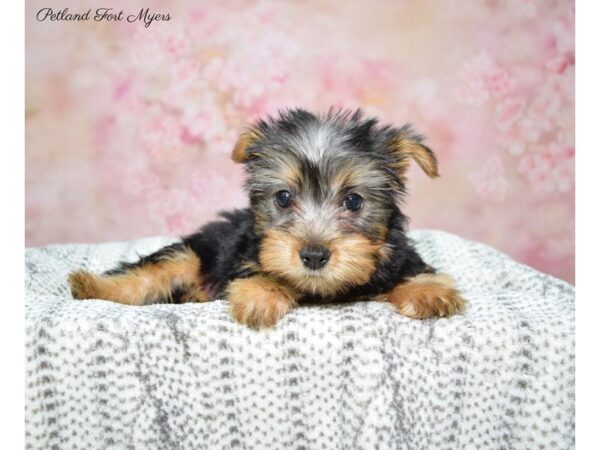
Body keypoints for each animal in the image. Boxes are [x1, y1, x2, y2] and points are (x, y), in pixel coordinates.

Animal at [69, 108, 464, 326]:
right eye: (283, 198)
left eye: (353, 200)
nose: (314, 255)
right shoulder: (242, 255)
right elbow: (259, 272)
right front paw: (262, 295)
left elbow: (411, 271)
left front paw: (428, 291)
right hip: (199, 250)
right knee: (152, 271)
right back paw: (90, 285)